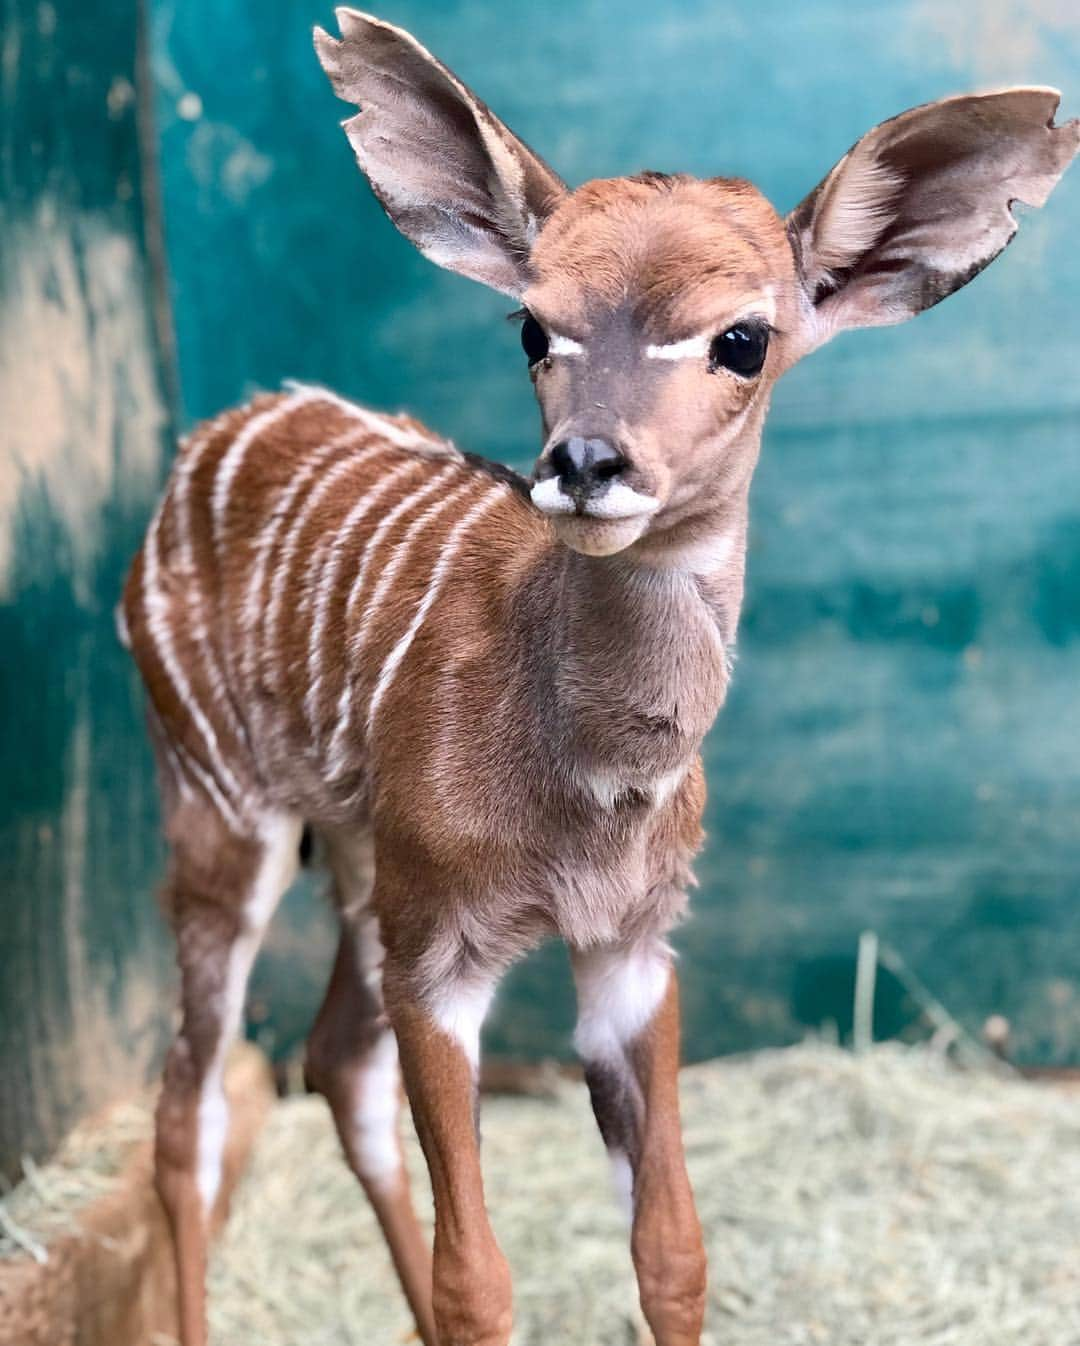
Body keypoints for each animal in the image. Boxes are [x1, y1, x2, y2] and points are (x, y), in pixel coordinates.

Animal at [119, 13, 1077, 1346]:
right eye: (532, 327)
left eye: (743, 338)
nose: (584, 463)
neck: (593, 783)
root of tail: (202, 446)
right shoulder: (443, 955)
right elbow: (481, 1278)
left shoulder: (630, 945)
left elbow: (670, 1247)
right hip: (221, 810)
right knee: (190, 1104)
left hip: (356, 856)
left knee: (333, 1062)